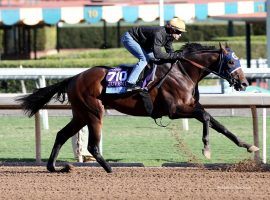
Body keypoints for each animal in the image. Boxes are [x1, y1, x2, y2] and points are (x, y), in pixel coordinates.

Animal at [17, 43, 260, 173]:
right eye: (231, 62)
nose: (244, 83)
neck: (184, 71)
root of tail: (74, 77)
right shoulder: (175, 110)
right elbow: (208, 118)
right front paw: (206, 148)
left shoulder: (191, 106)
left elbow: (218, 124)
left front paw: (249, 146)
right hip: (94, 112)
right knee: (92, 145)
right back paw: (109, 169)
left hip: (80, 114)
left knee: (61, 134)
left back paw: (54, 167)